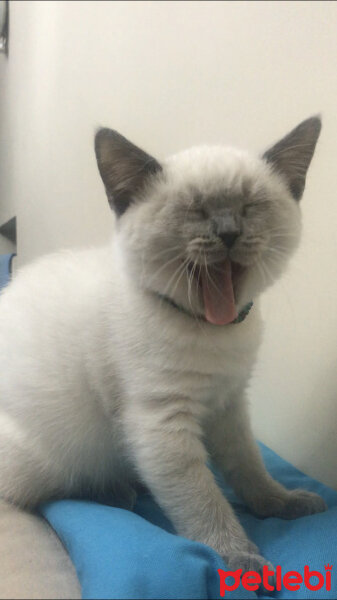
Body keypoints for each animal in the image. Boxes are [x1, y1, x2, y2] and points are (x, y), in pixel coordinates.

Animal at [0, 115, 326, 576]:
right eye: (195, 210)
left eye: (250, 206)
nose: (228, 232)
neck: (214, 331)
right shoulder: (162, 422)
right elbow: (203, 499)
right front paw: (240, 561)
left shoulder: (228, 404)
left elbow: (248, 466)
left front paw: (279, 502)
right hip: (51, 455)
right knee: (53, 491)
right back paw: (117, 492)